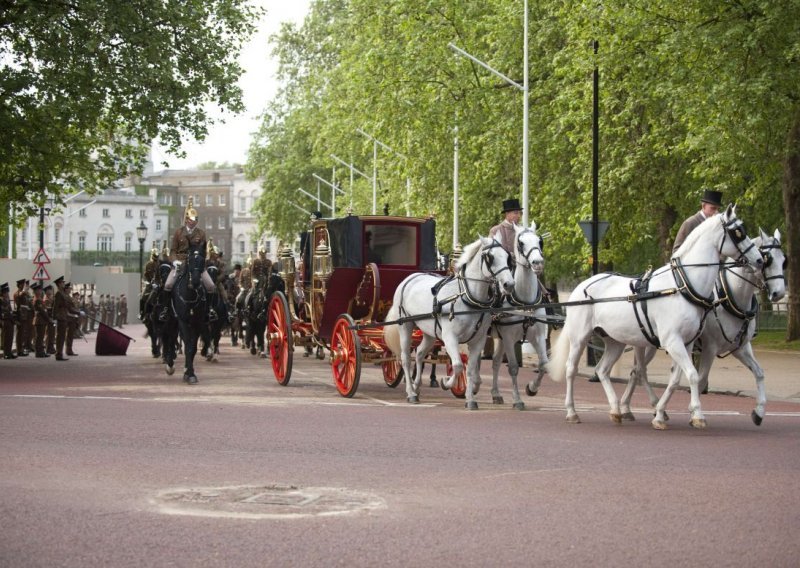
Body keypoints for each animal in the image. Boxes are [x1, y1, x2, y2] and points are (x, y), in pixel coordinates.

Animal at [170, 245, 208, 384]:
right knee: (170, 339)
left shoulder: (197, 323)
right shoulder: (183, 322)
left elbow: (192, 348)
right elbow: (187, 347)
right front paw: (189, 372)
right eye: (189, 259)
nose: (196, 282)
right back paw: (169, 366)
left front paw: (189, 373)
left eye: (202, 260)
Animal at [384, 236, 516, 408]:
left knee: (419, 354)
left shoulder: (478, 340)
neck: (466, 297)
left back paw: (417, 386)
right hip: (405, 325)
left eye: (507, 257)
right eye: (490, 257)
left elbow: (470, 369)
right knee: (405, 358)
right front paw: (446, 382)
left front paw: (470, 399)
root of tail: (409, 278)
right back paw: (411, 392)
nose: (509, 284)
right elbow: (458, 365)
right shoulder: (450, 338)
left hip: (429, 332)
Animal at [488, 222, 552, 408]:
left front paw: (532, 388)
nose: (537, 263)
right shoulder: (510, 338)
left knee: (495, 362)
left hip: (500, 338)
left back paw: (496, 394)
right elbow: (513, 367)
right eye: (521, 243)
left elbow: (543, 364)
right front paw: (517, 399)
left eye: (539, 240)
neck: (524, 302)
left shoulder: (538, 335)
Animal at [552, 205, 764, 430]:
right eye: (738, 232)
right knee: (571, 369)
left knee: (603, 370)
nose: (759, 259)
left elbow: (679, 378)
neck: (682, 286)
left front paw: (662, 414)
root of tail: (581, 286)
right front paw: (697, 415)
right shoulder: (674, 341)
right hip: (580, 338)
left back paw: (617, 410)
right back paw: (572, 411)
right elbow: (693, 375)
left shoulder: (687, 343)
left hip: (616, 341)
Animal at [620, 226, 788, 426]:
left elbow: (759, 373)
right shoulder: (710, 347)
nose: (779, 293)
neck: (729, 297)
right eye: (767, 259)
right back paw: (633, 407)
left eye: (783, 260)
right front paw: (694, 412)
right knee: (638, 371)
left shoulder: (741, 348)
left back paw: (633, 407)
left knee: (637, 371)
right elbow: (701, 378)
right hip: (644, 344)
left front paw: (759, 412)